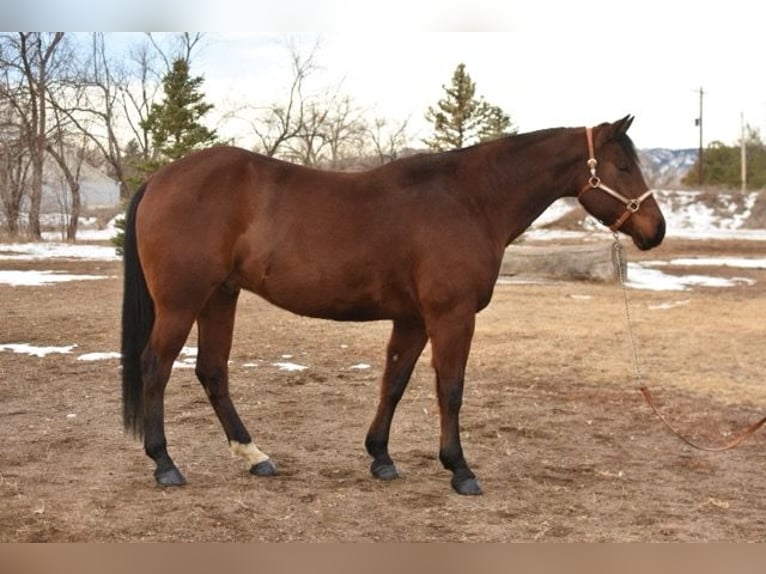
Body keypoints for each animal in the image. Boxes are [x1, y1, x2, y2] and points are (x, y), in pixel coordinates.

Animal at [120, 116, 664, 496]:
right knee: (155, 367)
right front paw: (460, 469)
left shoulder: (413, 319)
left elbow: (394, 383)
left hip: (220, 297)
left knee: (212, 371)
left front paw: (380, 457)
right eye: (622, 166)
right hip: (181, 303)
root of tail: (161, 179)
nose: (655, 229)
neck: (470, 200)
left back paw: (254, 456)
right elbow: (450, 390)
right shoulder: (451, 316)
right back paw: (165, 464)